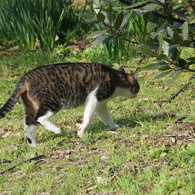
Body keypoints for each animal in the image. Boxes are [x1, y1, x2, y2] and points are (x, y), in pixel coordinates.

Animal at [0, 62, 140, 146]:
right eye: (138, 87)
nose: (137, 93)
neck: (116, 78)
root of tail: (25, 78)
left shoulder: (101, 104)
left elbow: (106, 117)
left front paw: (113, 126)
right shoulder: (93, 98)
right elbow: (88, 118)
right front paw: (81, 132)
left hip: (31, 106)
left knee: (29, 125)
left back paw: (34, 146)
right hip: (52, 103)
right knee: (39, 118)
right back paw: (56, 130)